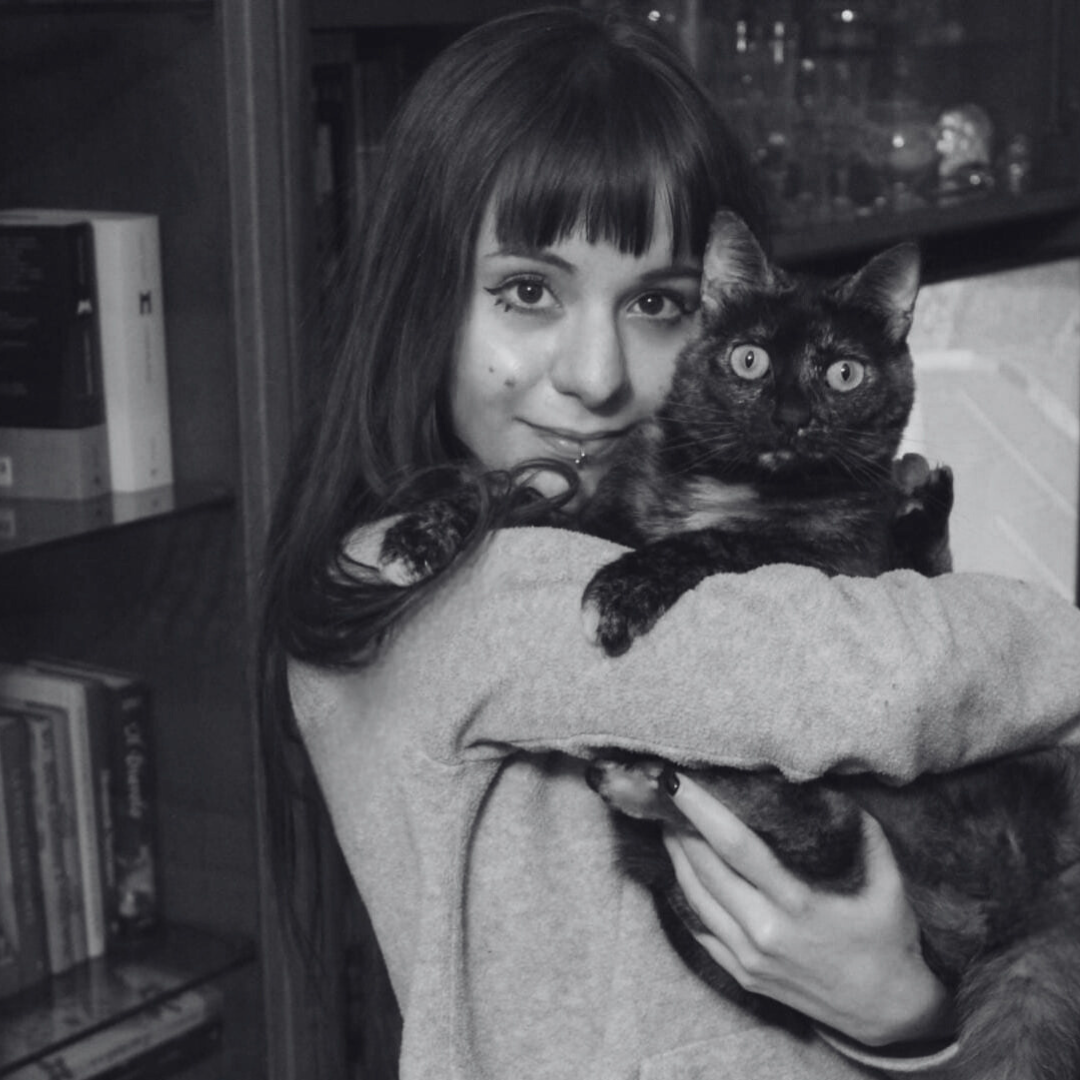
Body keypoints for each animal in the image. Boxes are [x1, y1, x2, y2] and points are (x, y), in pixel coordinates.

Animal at [582, 211, 1080, 1080]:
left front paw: (624, 586)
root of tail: (1035, 901)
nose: (790, 417)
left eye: (843, 374)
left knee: (830, 839)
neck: (739, 486)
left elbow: (721, 544)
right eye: (748, 359)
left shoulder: (832, 566)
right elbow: (593, 516)